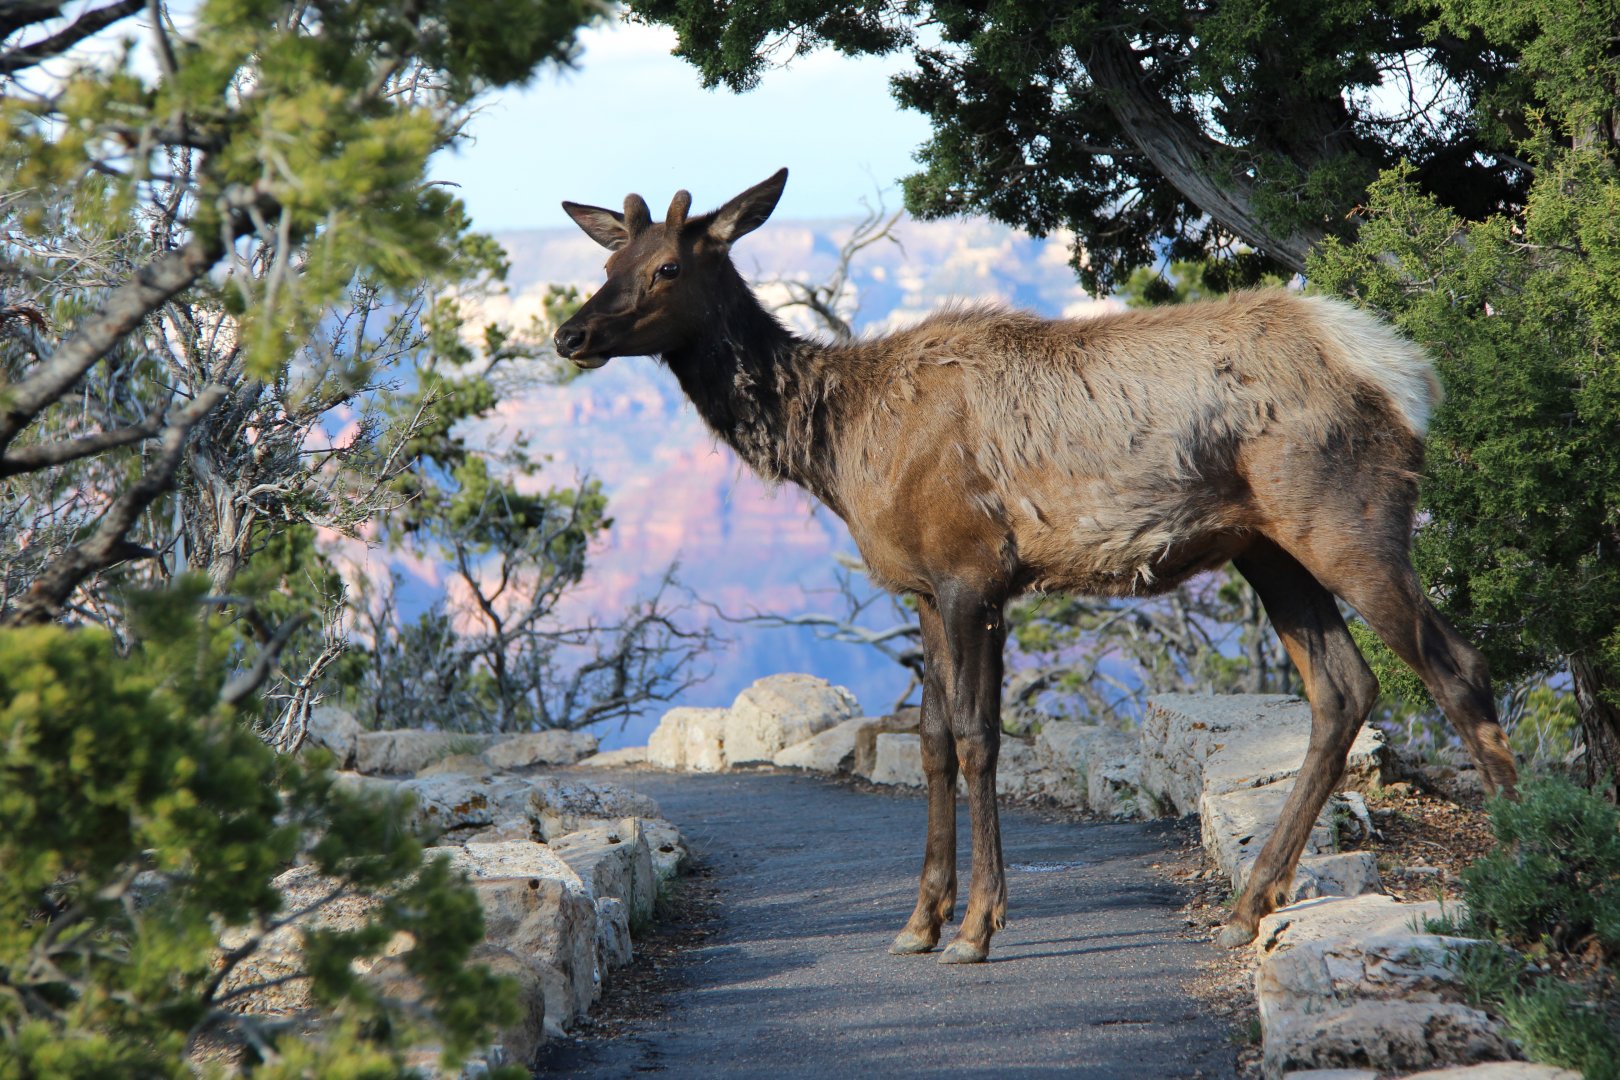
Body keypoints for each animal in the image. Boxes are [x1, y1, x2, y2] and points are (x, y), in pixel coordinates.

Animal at [552, 169, 1519, 963]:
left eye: (667, 268)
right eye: (609, 257)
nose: (570, 331)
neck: (837, 449)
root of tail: (1412, 373)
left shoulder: (972, 571)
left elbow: (980, 739)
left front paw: (977, 927)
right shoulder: (923, 588)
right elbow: (931, 741)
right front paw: (919, 921)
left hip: (1349, 516)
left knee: (1458, 668)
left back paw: (1515, 880)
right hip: (1272, 547)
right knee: (1345, 687)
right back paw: (1248, 906)